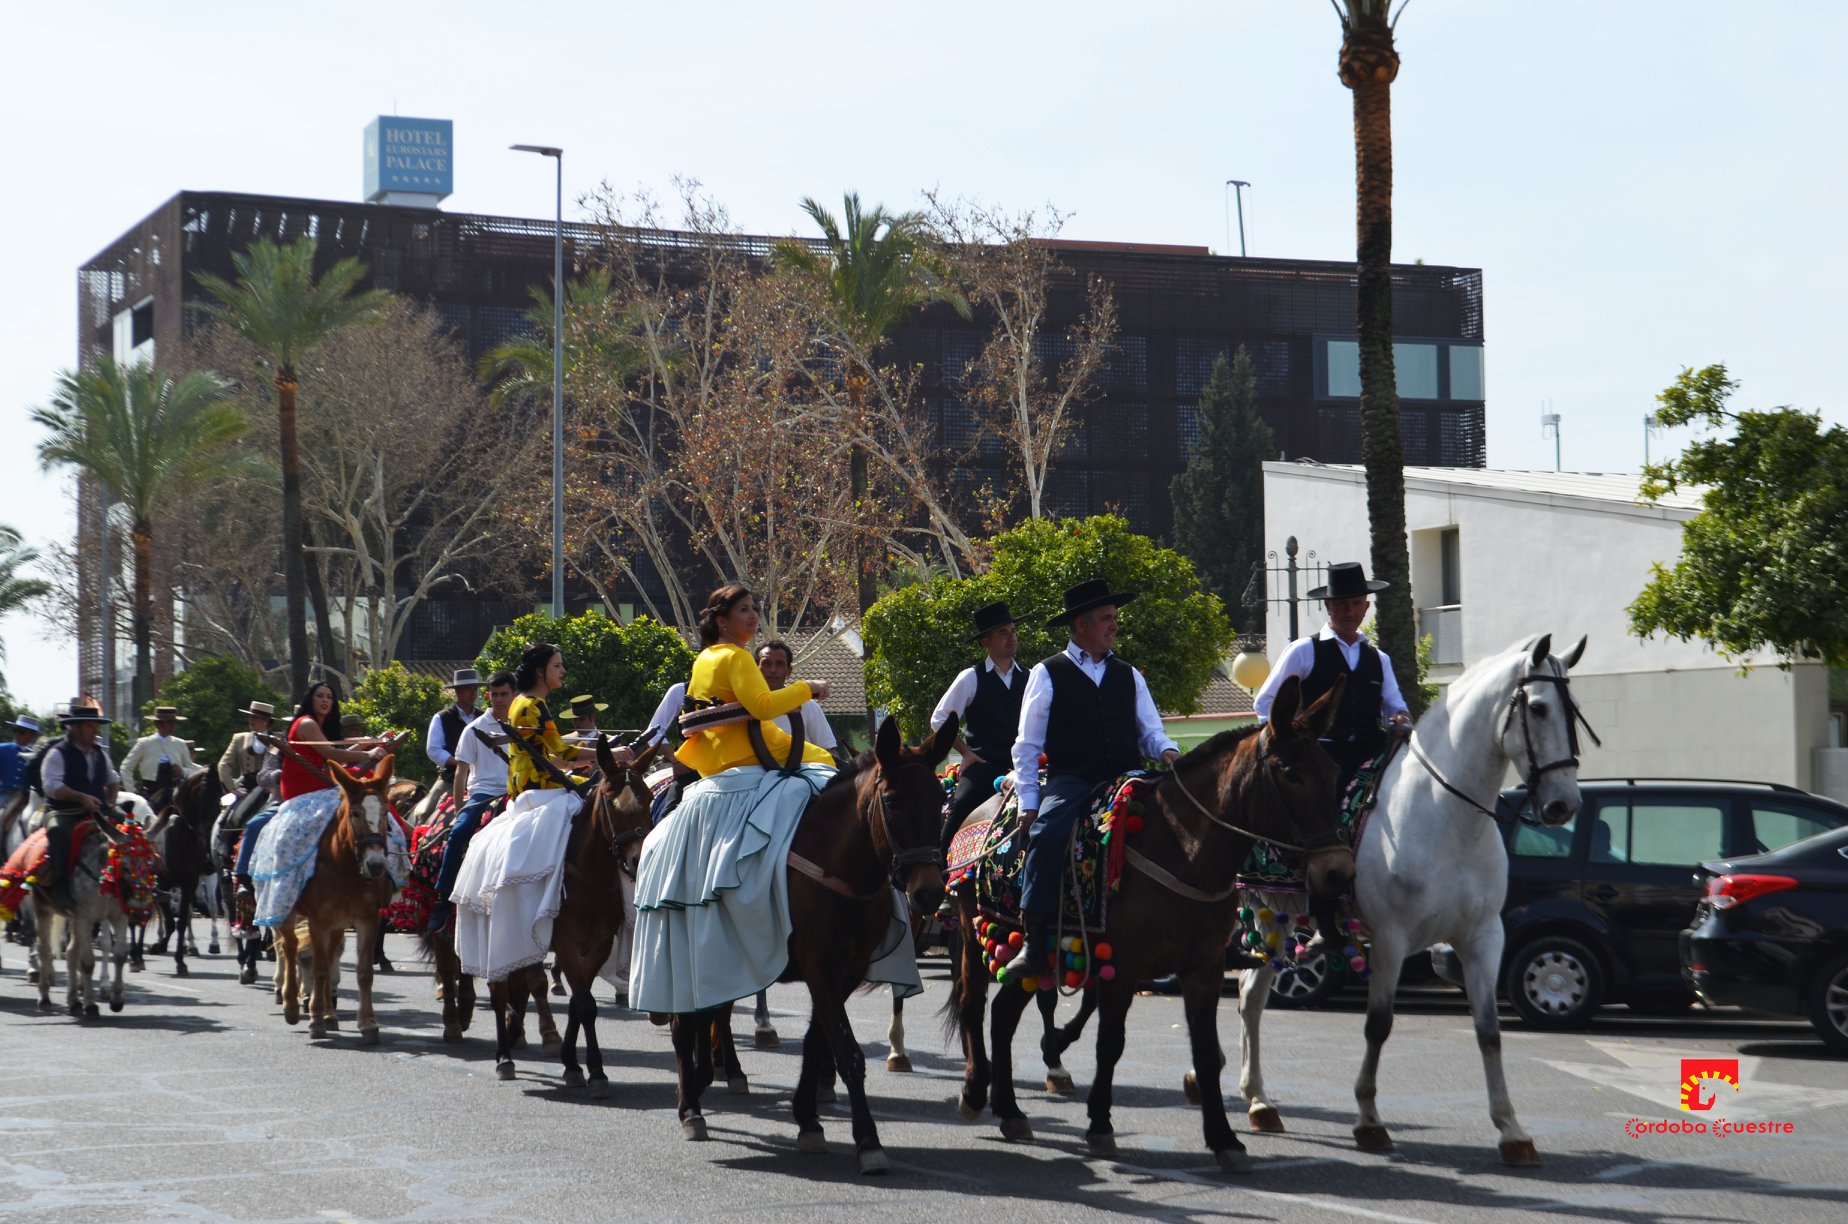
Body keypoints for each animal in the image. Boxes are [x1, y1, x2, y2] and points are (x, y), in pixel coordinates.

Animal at [277, 758, 397, 1042]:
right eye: (354, 813)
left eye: (386, 813)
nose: (376, 864)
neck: (344, 868)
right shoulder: (318, 920)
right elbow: (319, 968)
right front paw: (315, 1019)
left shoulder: (367, 919)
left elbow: (363, 972)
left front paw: (368, 1023)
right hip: (285, 908)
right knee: (289, 946)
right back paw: (292, 1006)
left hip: (339, 923)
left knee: (331, 958)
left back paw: (330, 1015)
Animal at [487, 739, 661, 1094]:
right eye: (610, 802)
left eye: (649, 798)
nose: (637, 860)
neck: (590, 876)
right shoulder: (566, 943)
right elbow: (584, 1004)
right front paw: (589, 1069)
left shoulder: (598, 945)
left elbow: (580, 1004)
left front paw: (576, 1063)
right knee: (498, 992)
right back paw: (504, 1058)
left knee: (519, 984)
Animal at [672, 721, 953, 1183]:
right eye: (892, 802)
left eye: (941, 800)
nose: (929, 893)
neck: (837, 864)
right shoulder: (820, 967)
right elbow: (848, 1052)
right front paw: (868, 1141)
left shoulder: (845, 972)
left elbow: (817, 1041)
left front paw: (807, 1118)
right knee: (683, 1028)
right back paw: (690, 1109)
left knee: (709, 1018)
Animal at [953, 676, 1360, 1175]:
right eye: (1290, 772)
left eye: (1332, 770)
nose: (1337, 871)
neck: (1183, 849)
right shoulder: (1123, 970)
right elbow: (1110, 1043)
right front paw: (1100, 1125)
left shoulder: (1203, 971)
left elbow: (1205, 1052)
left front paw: (1224, 1138)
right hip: (976, 934)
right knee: (975, 1006)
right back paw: (977, 1093)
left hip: (1036, 955)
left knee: (1004, 1015)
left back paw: (1010, 1110)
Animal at [1227, 636, 1589, 1168]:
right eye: (1539, 708)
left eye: (1573, 709)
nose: (1563, 805)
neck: (1447, 817)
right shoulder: (1391, 940)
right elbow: (1378, 1025)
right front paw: (1369, 1121)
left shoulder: (1484, 938)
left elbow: (1489, 1031)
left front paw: (1511, 1129)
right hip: (1268, 913)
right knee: (1251, 996)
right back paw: (1253, 1099)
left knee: (1250, 992)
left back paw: (1257, 1099)